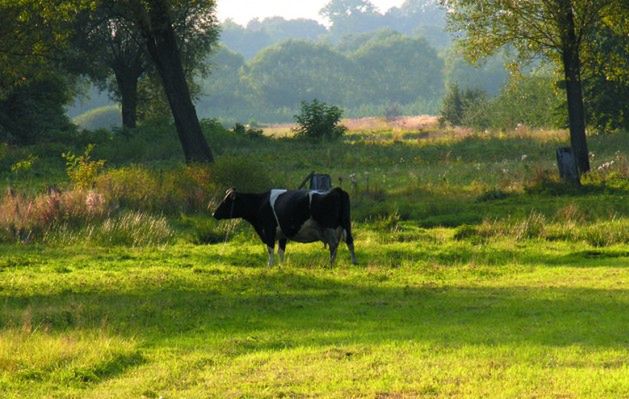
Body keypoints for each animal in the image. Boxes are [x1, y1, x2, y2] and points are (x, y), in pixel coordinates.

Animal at [212, 187, 356, 266]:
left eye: (226, 201)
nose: (214, 213)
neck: (260, 203)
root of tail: (337, 190)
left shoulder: (268, 230)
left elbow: (270, 249)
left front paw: (269, 266)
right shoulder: (282, 234)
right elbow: (281, 251)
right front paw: (281, 266)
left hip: (329, 227)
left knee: (334, 245)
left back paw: (331, 264)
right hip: (346, 224)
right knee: (349, 241)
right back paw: (353, 262)